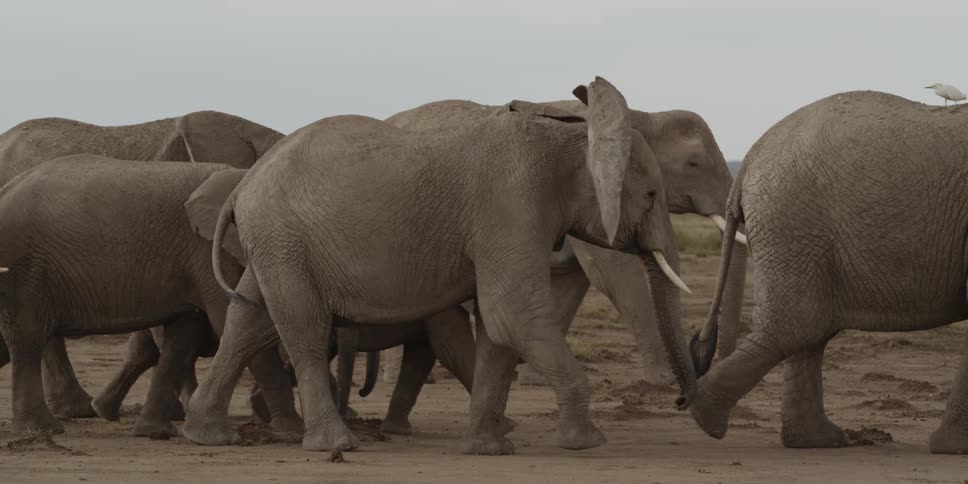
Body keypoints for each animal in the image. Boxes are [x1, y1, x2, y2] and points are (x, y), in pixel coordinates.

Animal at [182, 76, 696, 455]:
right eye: (652, 195)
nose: (680, 401)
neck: (569, 133)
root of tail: (243, 184)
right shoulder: (510, 204)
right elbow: (513, 313)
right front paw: (588, 443)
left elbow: (498, 326)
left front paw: (489, 449)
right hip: (283, 237)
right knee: (303, 329)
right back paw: (336, 445)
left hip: (275, 241)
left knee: (250, 321)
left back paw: (207, 435)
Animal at [380, 97, 747, 386]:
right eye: (694, 163)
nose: (704, 360)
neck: (641, 113)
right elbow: (617, 277)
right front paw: (665, 381)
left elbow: (573, 284)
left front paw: (534, 378)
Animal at [688, 91, 968, 454]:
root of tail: (751, 156)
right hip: (794, 222)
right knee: (796, 326)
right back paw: (707, 416)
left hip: (800, 233)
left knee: (809, 330)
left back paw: (817, 440)